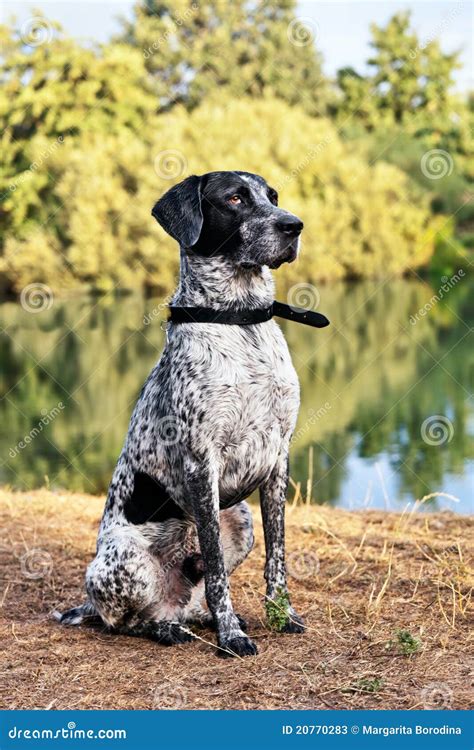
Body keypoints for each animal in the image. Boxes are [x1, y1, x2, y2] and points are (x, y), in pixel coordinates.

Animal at [55, 172, 306, 656]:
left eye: (272, 197)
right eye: (235, 198)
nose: (294, 226)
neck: (240, 323)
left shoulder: (278, 458)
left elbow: (276, 558)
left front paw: (281, 616)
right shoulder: (199, 462)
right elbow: (217, 572)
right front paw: (232, 637)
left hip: (240, 519)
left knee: (194, 595)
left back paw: (200, 618)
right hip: (123, 564)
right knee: (128, 620)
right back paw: (167, 629)